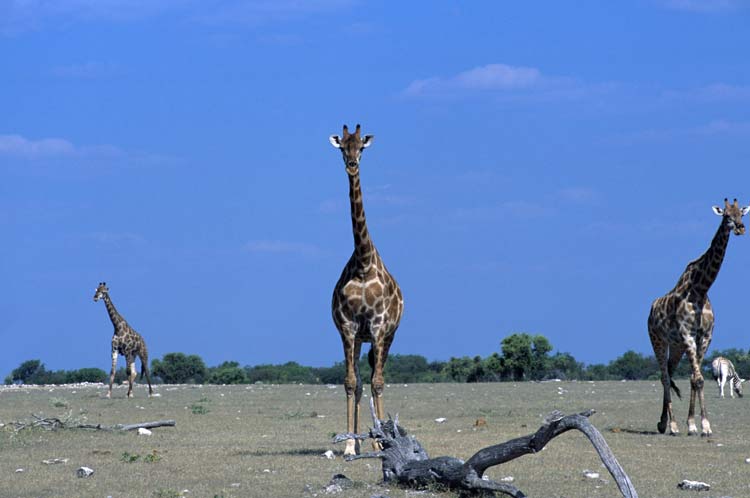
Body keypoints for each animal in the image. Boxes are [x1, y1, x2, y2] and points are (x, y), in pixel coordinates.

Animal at [648, 198, 748, 436]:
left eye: (741, 213)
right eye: (726, 216)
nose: (740, 228)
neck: (701, 289)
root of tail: (650, 309)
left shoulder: (704, 337)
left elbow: (695, 379)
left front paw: (697, 424)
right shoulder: (688, 335)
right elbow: (700, 379)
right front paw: (699, 426)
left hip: (676, 346)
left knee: (669, 373)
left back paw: (663, 422)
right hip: (658, 340)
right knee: (664, 377)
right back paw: (672, 426)